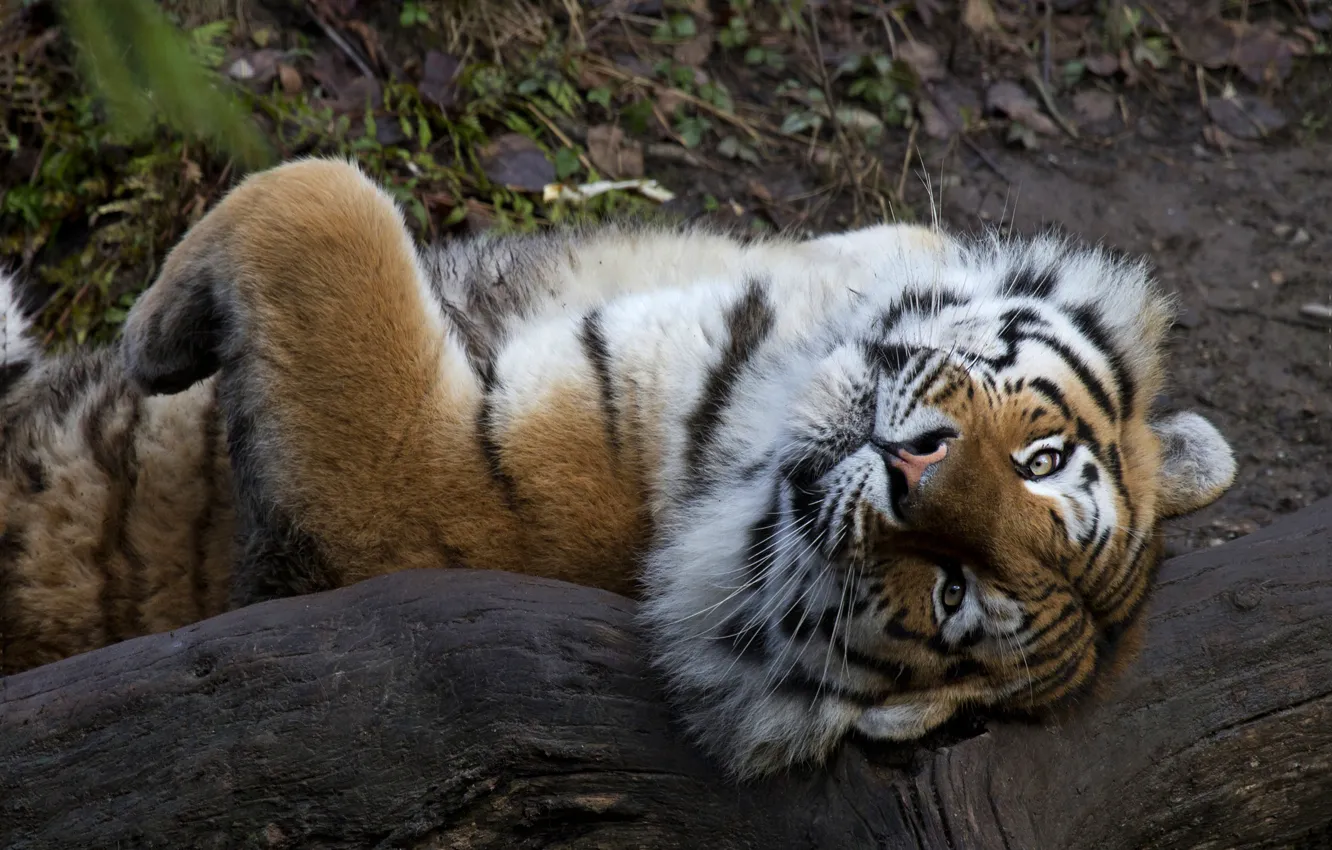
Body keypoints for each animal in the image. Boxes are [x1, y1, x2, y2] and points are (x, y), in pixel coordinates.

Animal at [0, 157, 1236, 779]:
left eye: (953, 596)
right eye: (1043, 461)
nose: (909, 474)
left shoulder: (402, 474)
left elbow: (328, 206)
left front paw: (153, 337)